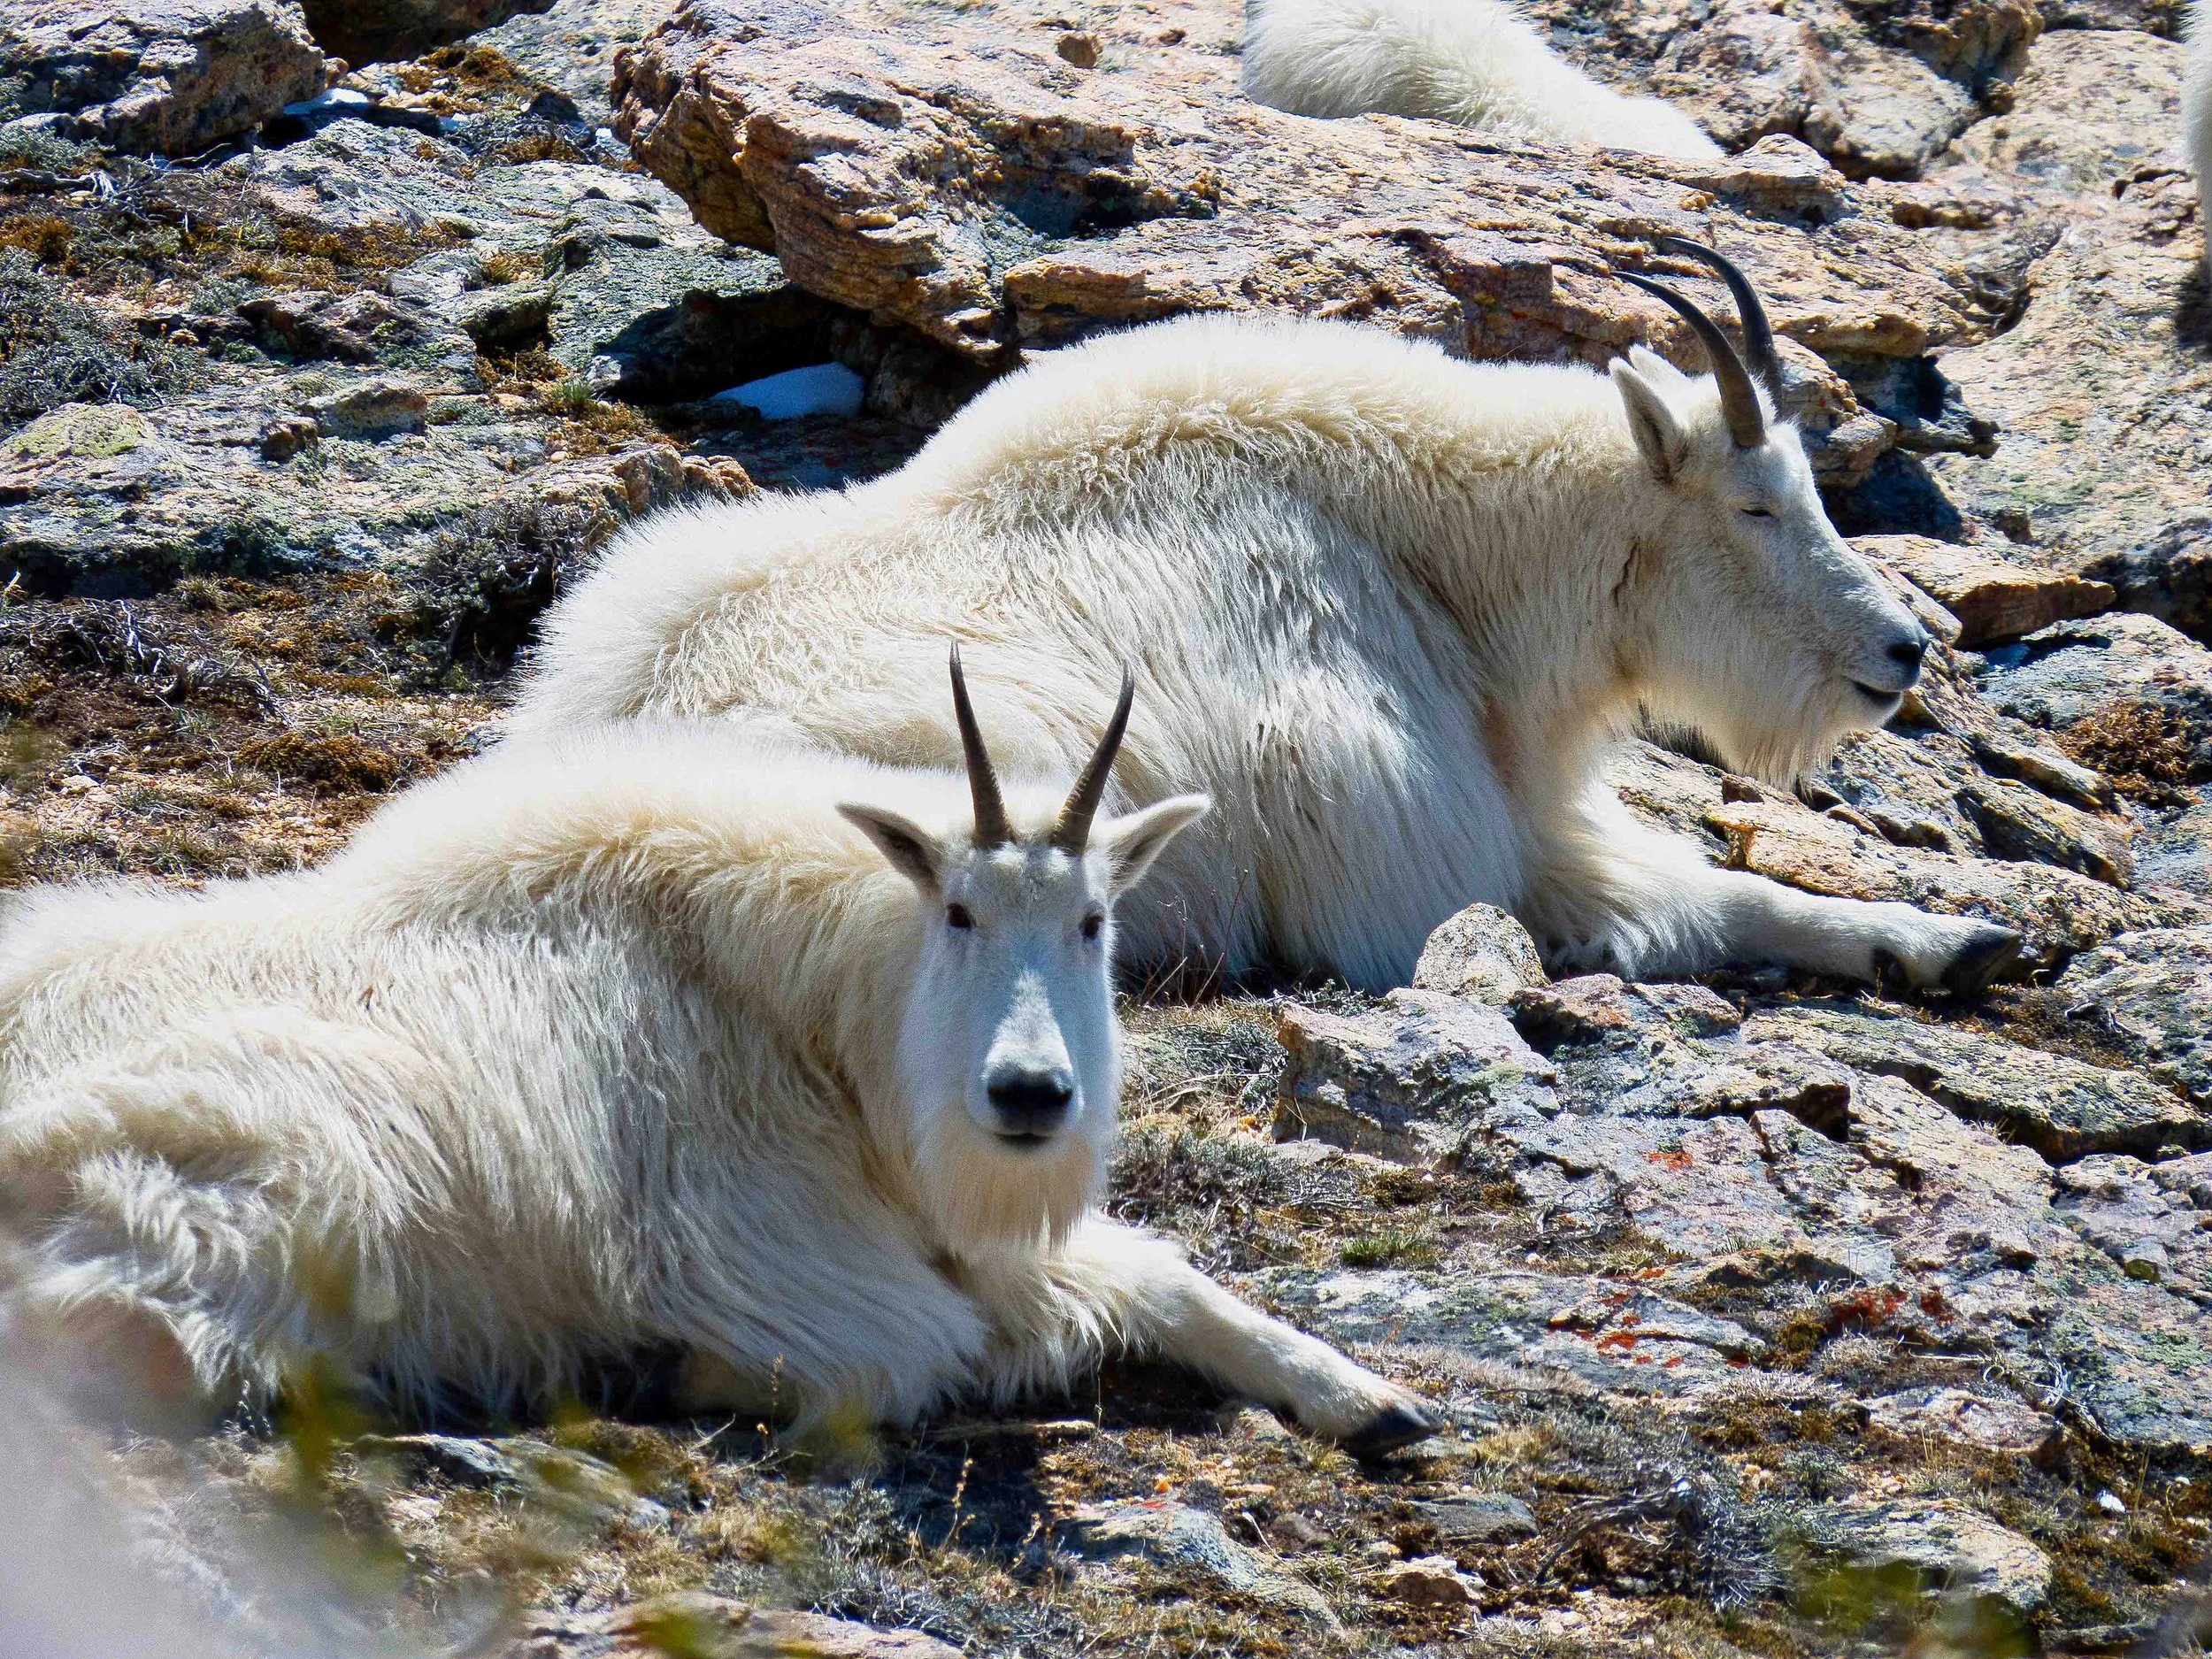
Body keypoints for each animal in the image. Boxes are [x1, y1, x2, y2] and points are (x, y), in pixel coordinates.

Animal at [0, 656, 1439, 1451]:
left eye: (1093, 920)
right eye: (958, 910)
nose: (1030, 1094)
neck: (795, 1007)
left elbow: (1161, 1274)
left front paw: (1367, 1396)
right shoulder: (772, 1249)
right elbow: (908, 1350)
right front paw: (669, 1365)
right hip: (273, 1161)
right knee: (114, 1339)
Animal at [513, 240, 2022, 1000]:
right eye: (1758, 504)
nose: (1902, 652)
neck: (1436, 557)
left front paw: (1948, 935)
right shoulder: (1409, 857)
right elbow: (1697, 898)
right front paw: (1947, 939)